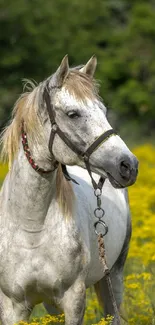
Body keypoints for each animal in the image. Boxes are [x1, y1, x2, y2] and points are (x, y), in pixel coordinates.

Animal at [0, 54, 138, 322]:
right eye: (73, 114)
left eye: (103, 111)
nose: (128, 166)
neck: (31, 227)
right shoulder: (12, 306)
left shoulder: (74, 300)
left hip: (113, 277)